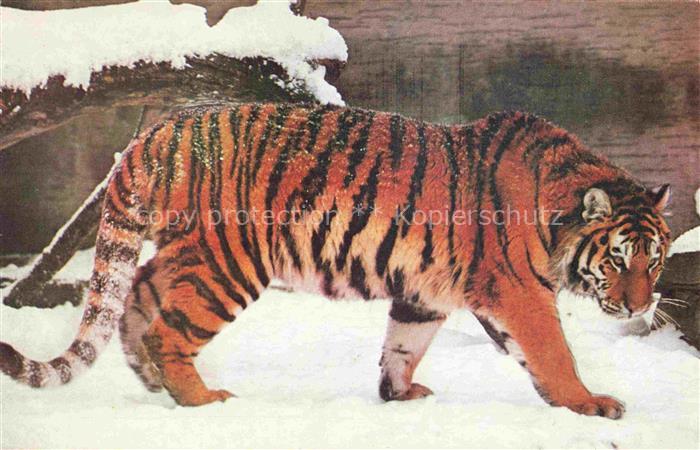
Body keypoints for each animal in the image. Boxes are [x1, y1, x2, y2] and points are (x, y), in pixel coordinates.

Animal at [0, 103, 671, 419]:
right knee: (168, 327)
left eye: (656, 263)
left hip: (187, 251)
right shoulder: (520, 292)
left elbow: (403, 344)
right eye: (617, 260)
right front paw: (589, 405)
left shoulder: (426, 292)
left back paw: (149, 377)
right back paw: (201, 399)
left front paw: (398, 394)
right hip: (228, 262)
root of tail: (154, 134)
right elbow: (553, 351)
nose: (643, 305)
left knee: (137, 289)